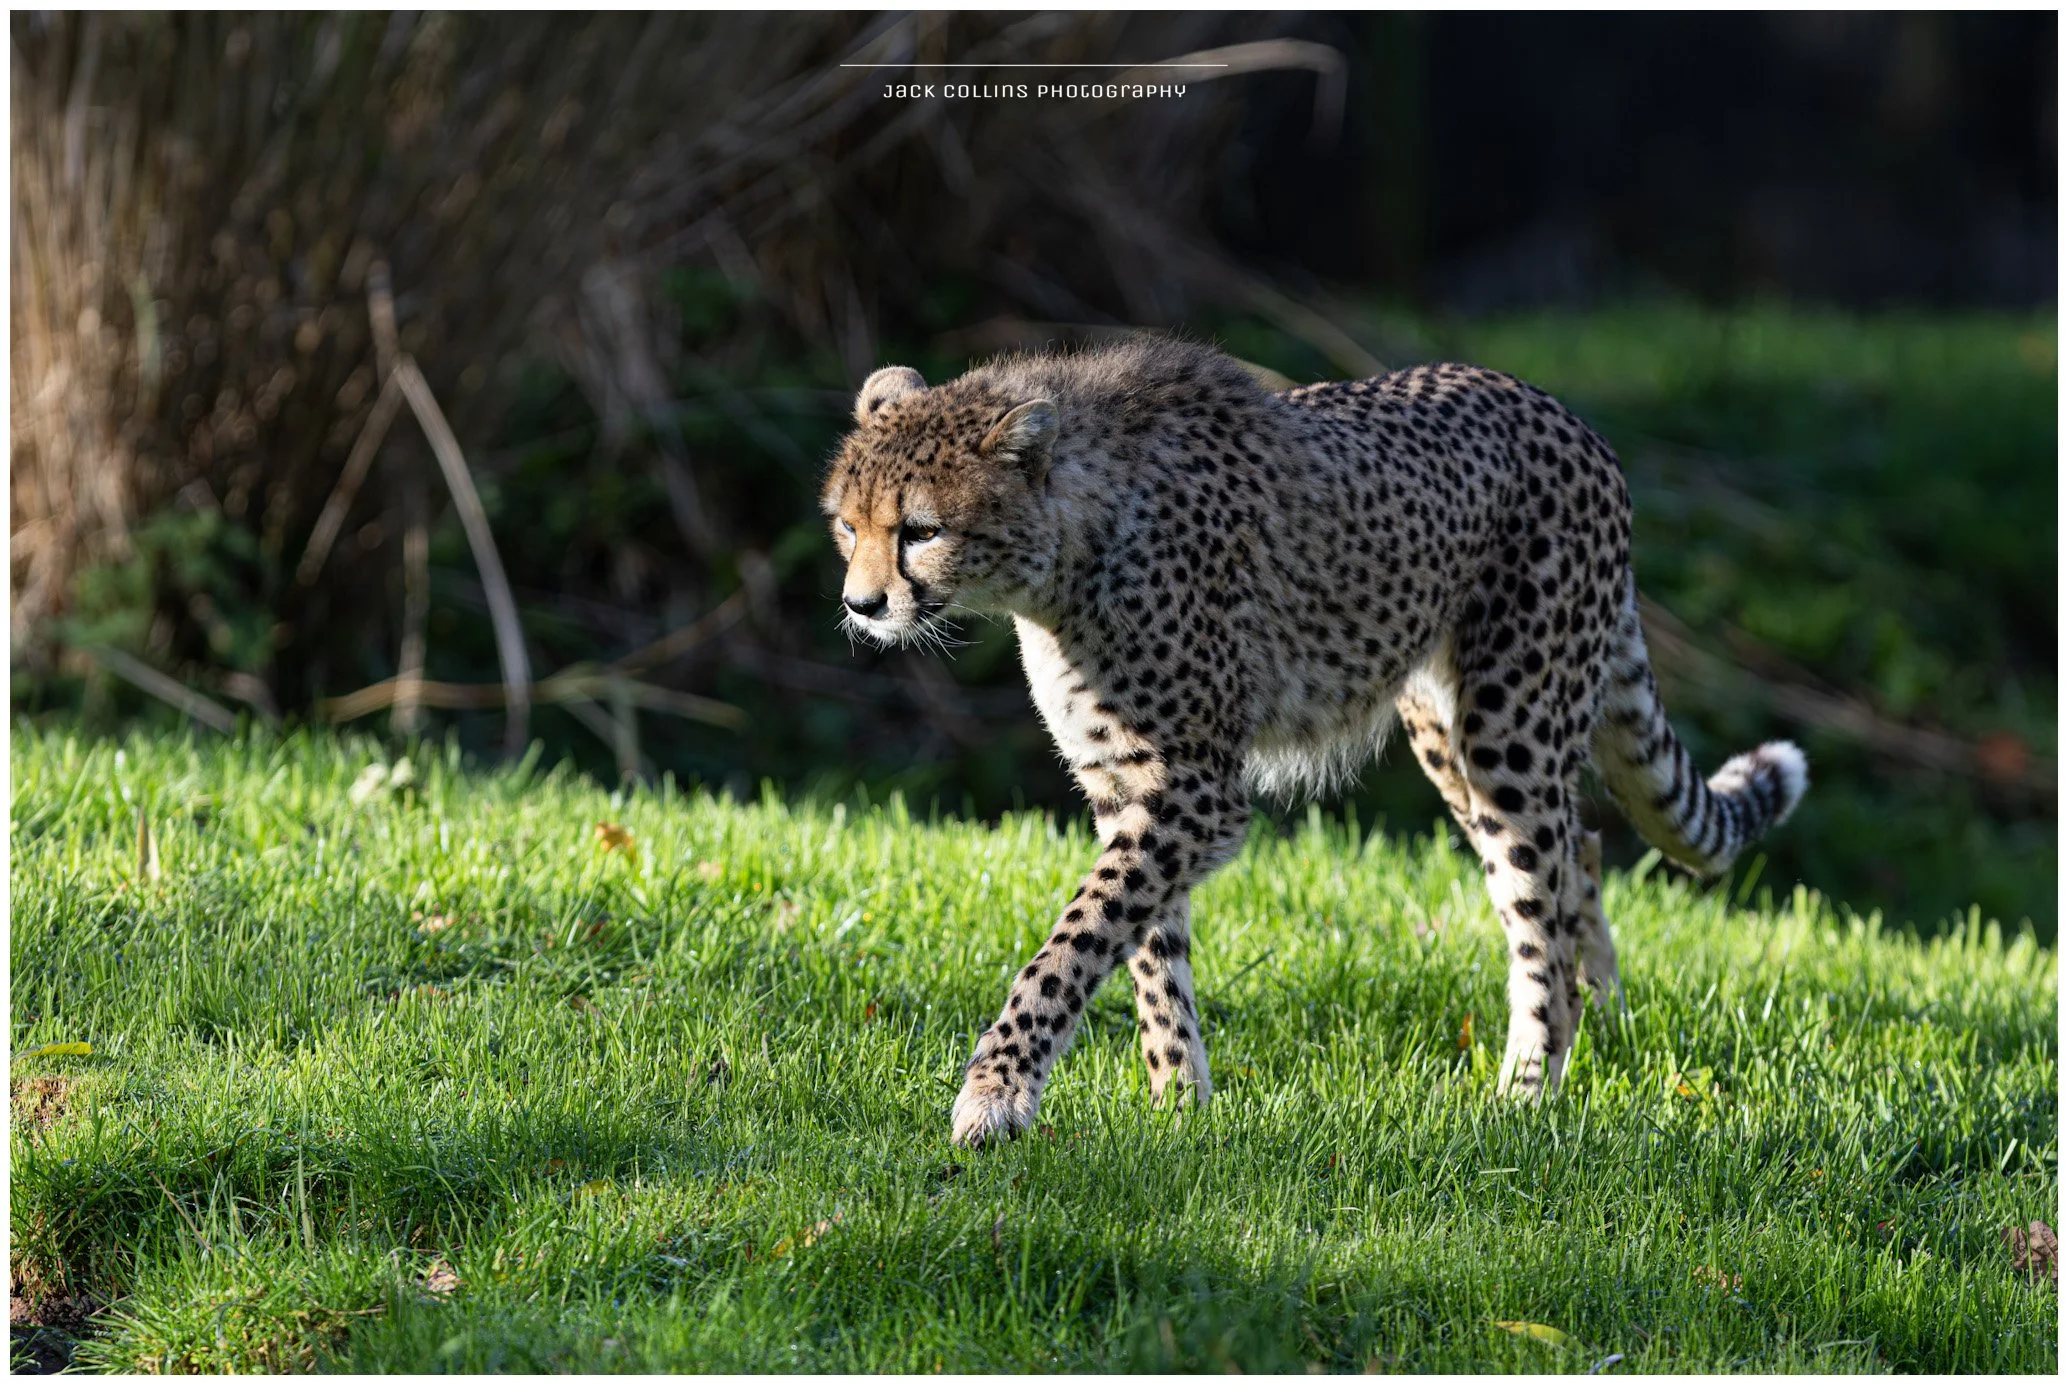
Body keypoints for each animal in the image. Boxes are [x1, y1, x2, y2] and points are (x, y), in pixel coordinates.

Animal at [820, 335, 1806, 1147]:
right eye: (847, 524)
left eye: (922, 530)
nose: (862, 605)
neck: (1067, 550)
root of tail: (1563, 413)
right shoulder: (1127, 784)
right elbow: (1147, 950)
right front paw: (1179, 1106)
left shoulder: (1194, 789)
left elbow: (1076, 939)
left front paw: (998, 1091)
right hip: (1448, 734)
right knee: (1580, 851)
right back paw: (1601, 1017)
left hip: (1510, 729)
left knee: (1542, 902)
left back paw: (1528, 1090)